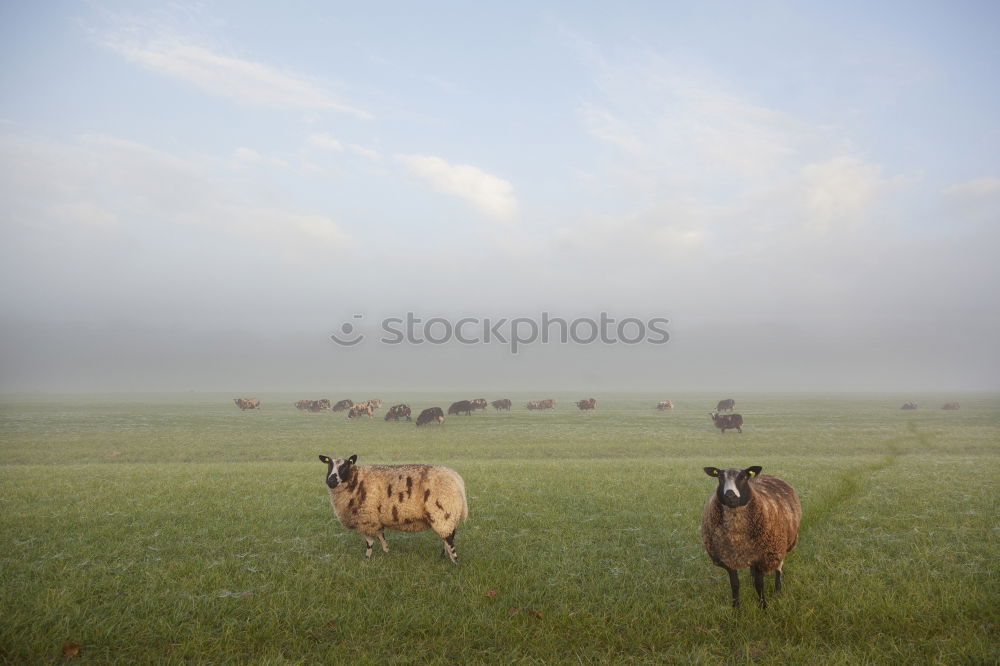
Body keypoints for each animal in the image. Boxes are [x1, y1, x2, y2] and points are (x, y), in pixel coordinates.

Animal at [316, 452, 468, 560]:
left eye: (345, 466)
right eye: (329, 465)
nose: (330, 481)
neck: (356, 480)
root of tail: (457, 479)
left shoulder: (366, 518)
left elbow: (369, 542)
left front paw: (367, 559)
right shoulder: (375, 519)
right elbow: (381, 536)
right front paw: (386, 552)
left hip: (443, 512)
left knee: (449, 539)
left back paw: (454, 562)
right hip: (447, 515)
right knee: (447, 537)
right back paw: (442, 556)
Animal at [704, 464, 804, 604]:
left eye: (744, 477)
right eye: (719, 477)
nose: (730, 496)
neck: (736, 536)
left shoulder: (763, 557)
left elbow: (759, 584)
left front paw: (763, 605)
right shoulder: (729, 558)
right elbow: (735, 584)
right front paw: (736, 607)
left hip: (781, 545)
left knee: (779, 567)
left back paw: (778, 590)